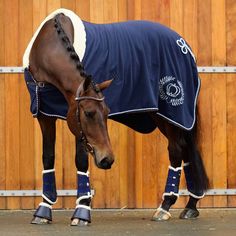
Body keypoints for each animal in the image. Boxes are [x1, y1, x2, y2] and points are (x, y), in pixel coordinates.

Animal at [23, 9, 208, 226]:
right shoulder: (45, 115)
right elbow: (48, 158)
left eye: (107, 113)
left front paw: (82, 211)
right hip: (167, 117)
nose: (107, 159)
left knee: (176, 151)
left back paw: (165, 206)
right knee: (185, 150)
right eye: (89, 113)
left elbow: (80, 160)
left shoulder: (75, 121)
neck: (48, 46)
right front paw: (43, 210)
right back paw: (190, 206)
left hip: (170, 113)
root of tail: (184, 46)